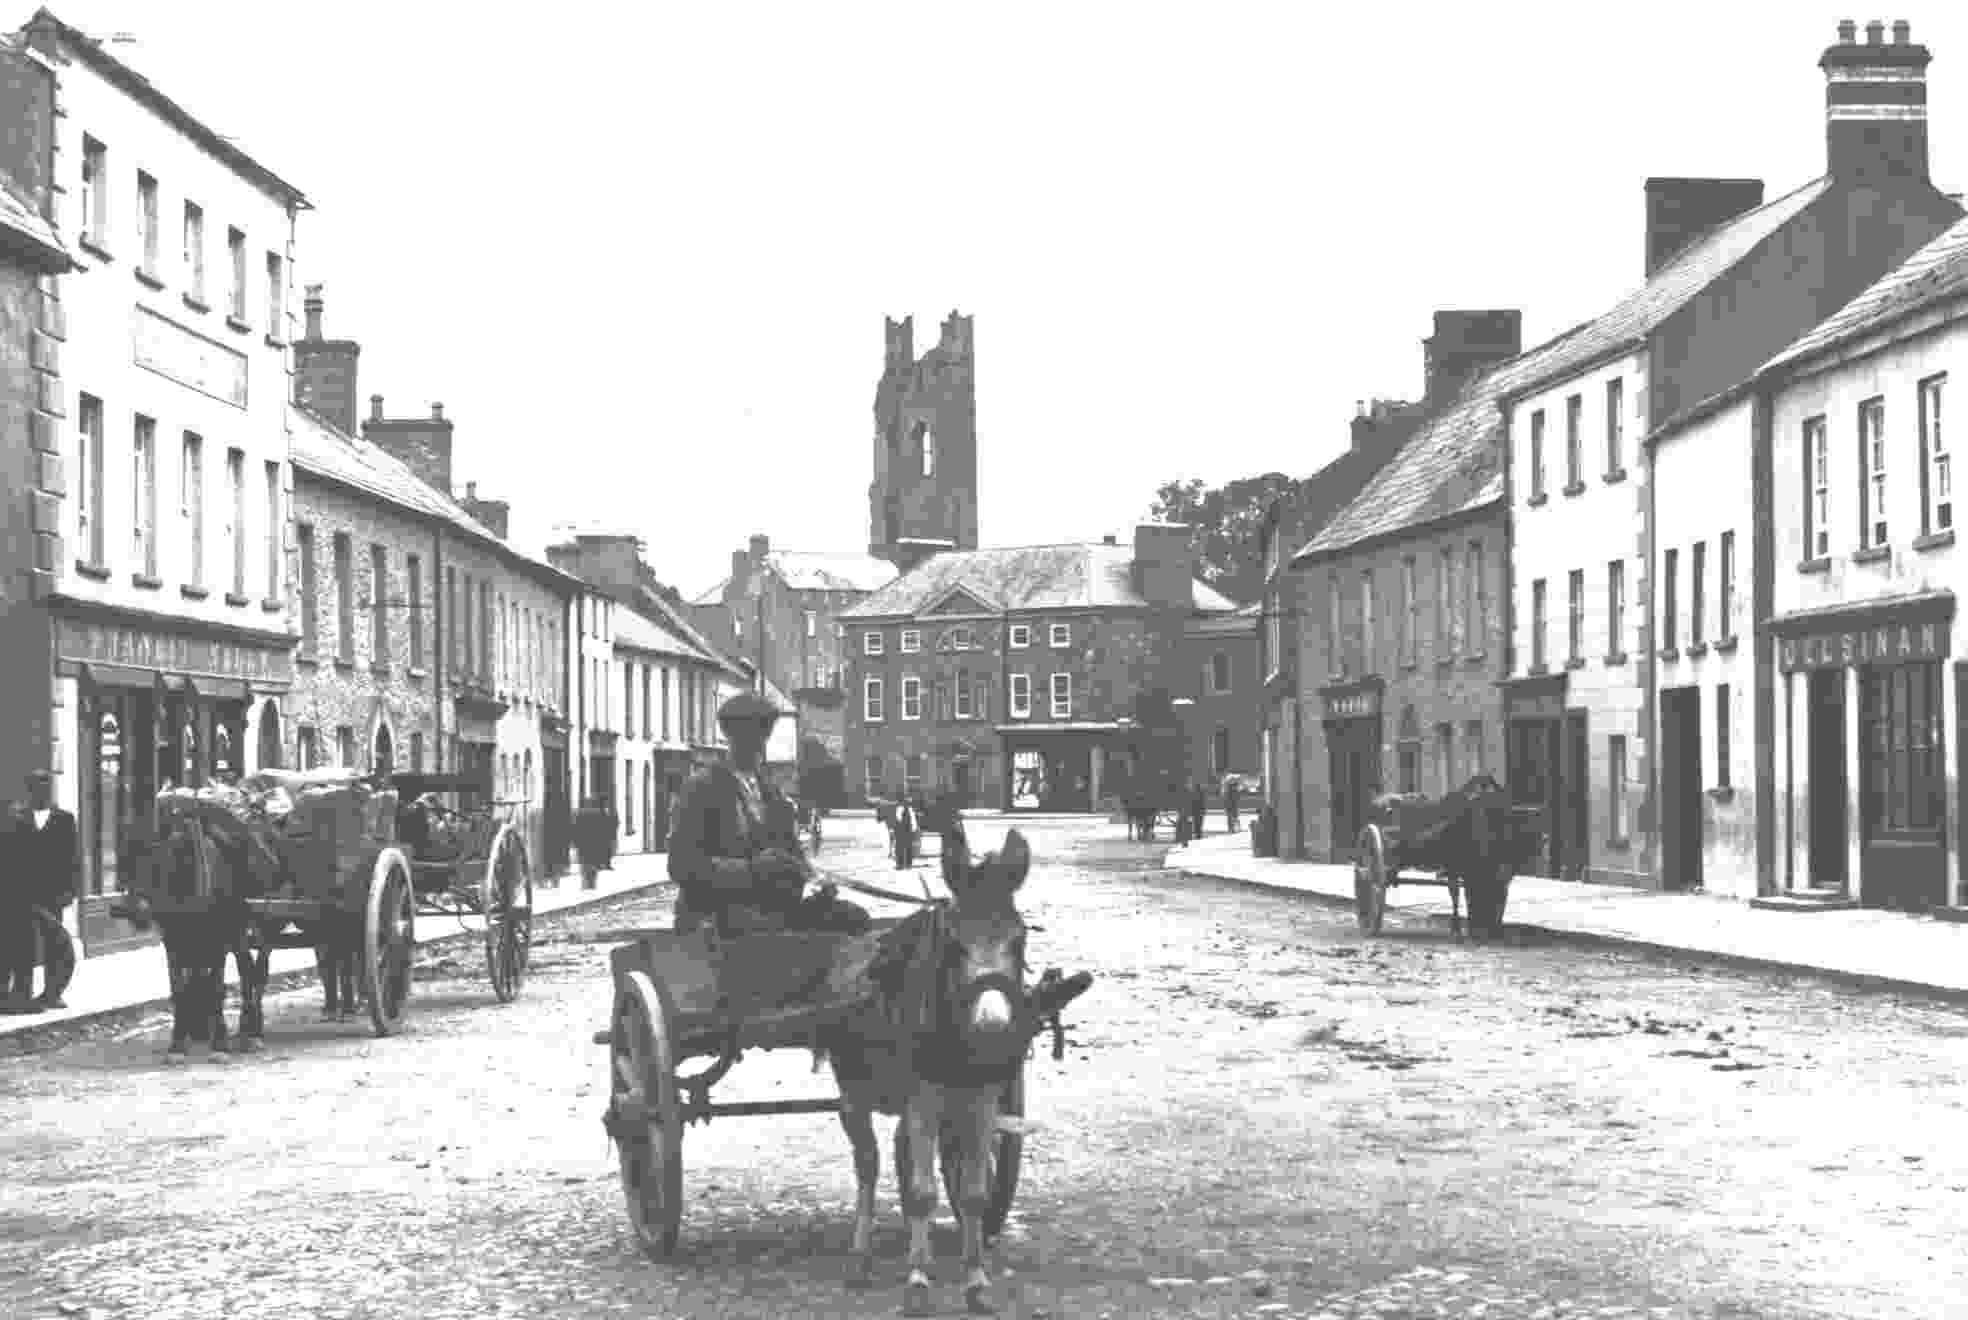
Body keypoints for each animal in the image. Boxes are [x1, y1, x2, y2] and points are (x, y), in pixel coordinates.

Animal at [818, 830, 1054, 1314]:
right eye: (954, 946)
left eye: (1019, 941)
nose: (993, 1027)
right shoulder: (923, 1101)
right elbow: (926, 1193)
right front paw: (918, 1282)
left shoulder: (982, 1102)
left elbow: (973, 1194)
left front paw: (976, 1281)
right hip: (854, 1097)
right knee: (868, 1164)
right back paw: (860, 1255)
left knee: (901, 1153)